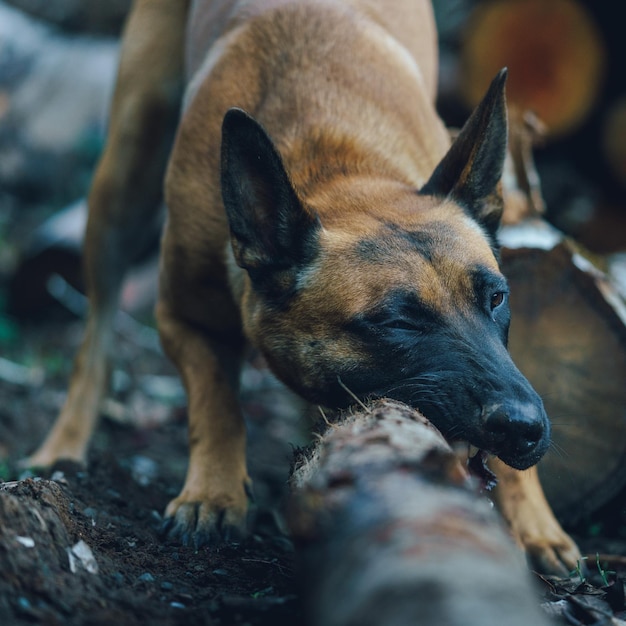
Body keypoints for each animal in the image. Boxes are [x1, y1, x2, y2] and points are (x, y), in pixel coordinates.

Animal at [24, 0, 580, 572]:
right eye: (397, 321)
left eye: (496, 299)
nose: (523, 427)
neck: (336, 166)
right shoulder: (183, 320)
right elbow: (216, 403)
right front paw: (213, 494)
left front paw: (534, 523)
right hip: (125, 171)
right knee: (96, 338)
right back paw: (64, 447)